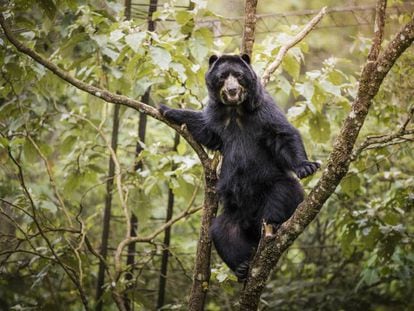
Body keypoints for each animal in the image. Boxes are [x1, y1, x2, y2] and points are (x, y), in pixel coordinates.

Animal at [158, 53, 320, 280]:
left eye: (238, 75)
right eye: (223, 76)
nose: (232, 90)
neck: (235, 110)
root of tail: (250, 220)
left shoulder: (263, 111)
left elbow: (283, 134)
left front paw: (306, 167)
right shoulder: (217, 118)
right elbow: (204, 128)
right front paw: (167, 109)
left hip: (272, 184)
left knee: (284, 192)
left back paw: (275, 222)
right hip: (233, 213)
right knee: (222, 231)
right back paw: (243, 265)